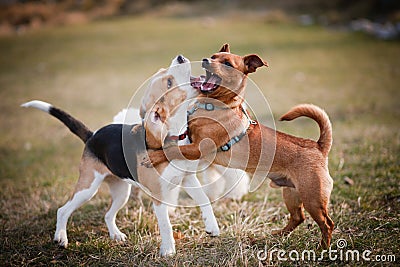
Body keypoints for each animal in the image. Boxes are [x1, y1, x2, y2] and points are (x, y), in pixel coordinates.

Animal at [144, 44, 334, 249]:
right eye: (213, 56)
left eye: (227, 64)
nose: (205, 60)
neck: (213, 106)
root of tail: (318, 146)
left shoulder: (196, 149)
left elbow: (170, 150)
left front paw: (152, 156)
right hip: (291, 193)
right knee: (298, 217)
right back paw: (276, 235)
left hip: (312, 199)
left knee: (327, 223)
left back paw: (323, 247)